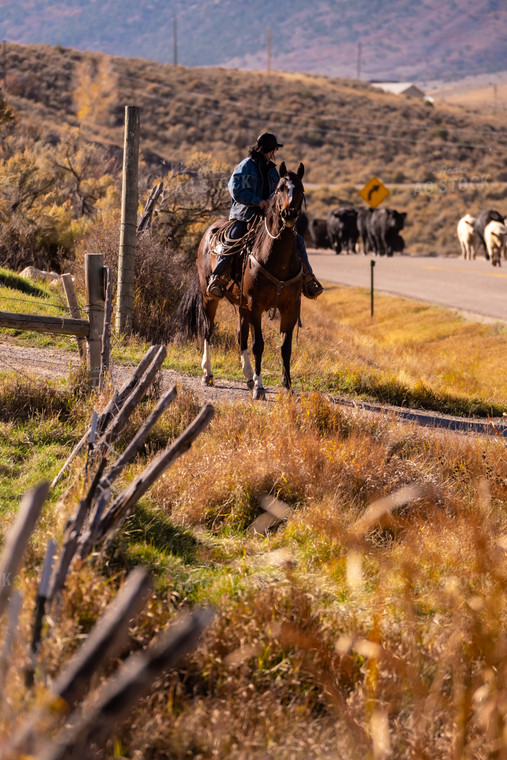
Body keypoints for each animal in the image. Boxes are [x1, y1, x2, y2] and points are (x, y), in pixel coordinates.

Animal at [179, 163, 306, 400]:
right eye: (281, 188)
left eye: (301, 189)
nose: (289, 213)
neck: (277, 259)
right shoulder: (255, 305)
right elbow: (259, 345)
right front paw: (260, 388)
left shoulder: (290, 307)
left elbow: (285, 347)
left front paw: (286, 387)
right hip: (210, 297)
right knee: (208, 330)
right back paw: (208, 373)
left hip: (241, 305)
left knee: (241, 336)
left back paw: (248, 376)